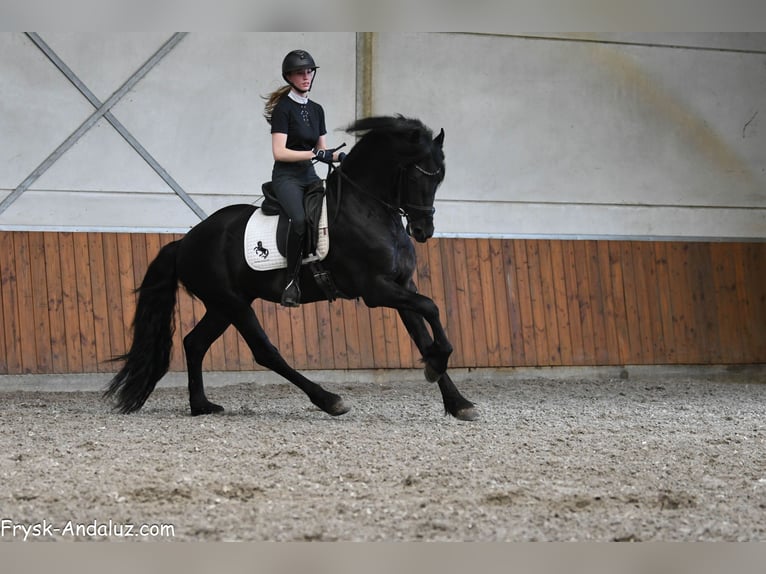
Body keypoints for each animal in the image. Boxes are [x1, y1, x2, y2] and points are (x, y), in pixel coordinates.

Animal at [104, 115, 477, 421]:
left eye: (440, 178)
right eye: (416, 174)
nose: (423, 231)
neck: (368, 208)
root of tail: (185, 242)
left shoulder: (402, 286)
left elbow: (422, 330)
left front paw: (457, 400)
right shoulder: (376, 289)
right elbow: (432, 307)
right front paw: (436, 365)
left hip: (223, 305)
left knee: (194, 343)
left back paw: (201, 406)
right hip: (233, 304)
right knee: (265, 352)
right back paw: (329, 400)